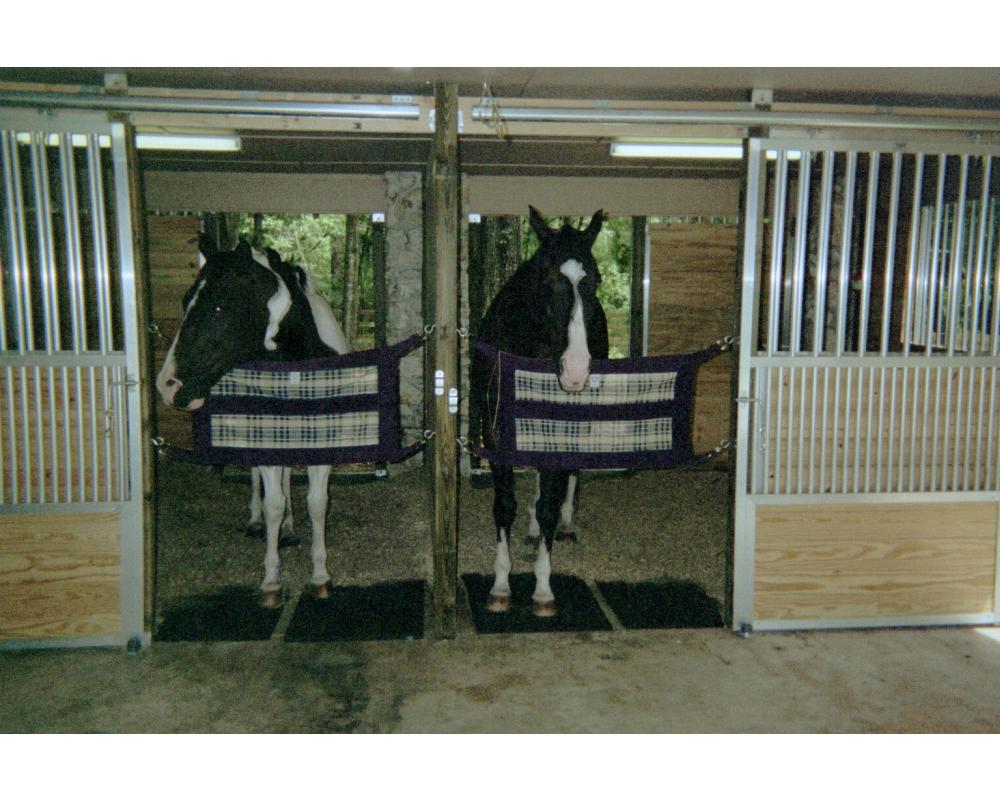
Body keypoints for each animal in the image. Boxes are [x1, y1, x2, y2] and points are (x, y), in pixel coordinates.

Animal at [470, 208, 608, 620]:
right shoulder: (496, 432)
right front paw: (500, 585)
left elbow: (549, 502)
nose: (576, 371)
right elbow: (504, 505)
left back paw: (565, 521)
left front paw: (543, 590)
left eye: (595, 281)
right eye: (548, 282)